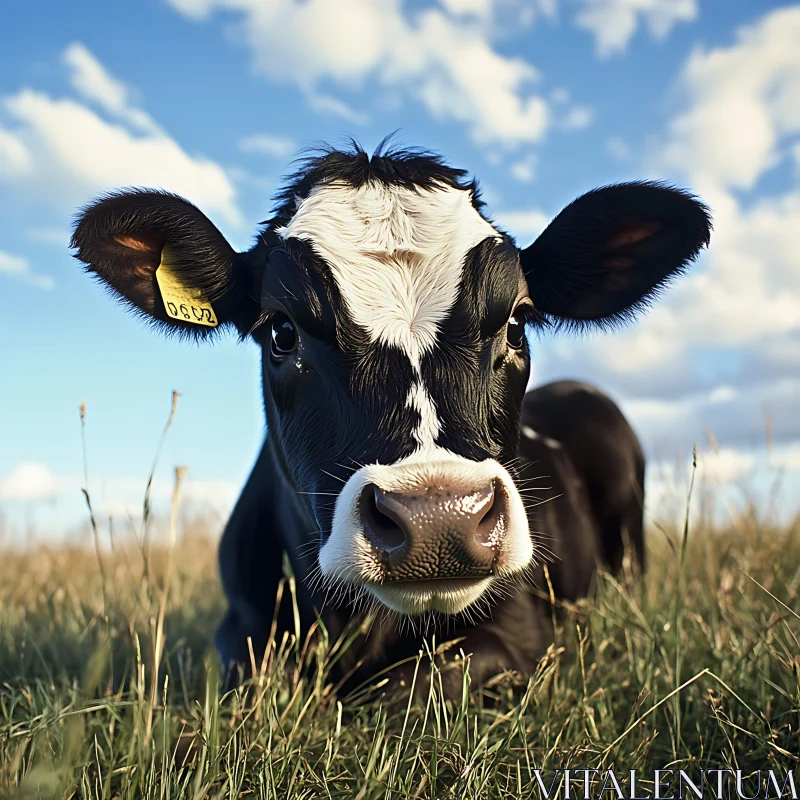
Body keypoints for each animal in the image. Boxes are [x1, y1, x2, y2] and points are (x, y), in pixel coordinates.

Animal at [73, 144, 712, 700]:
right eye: (280, 331)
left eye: (516, 323)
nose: (438, 519)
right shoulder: (240, 633)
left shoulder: (524, 638)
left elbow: (400, 691)